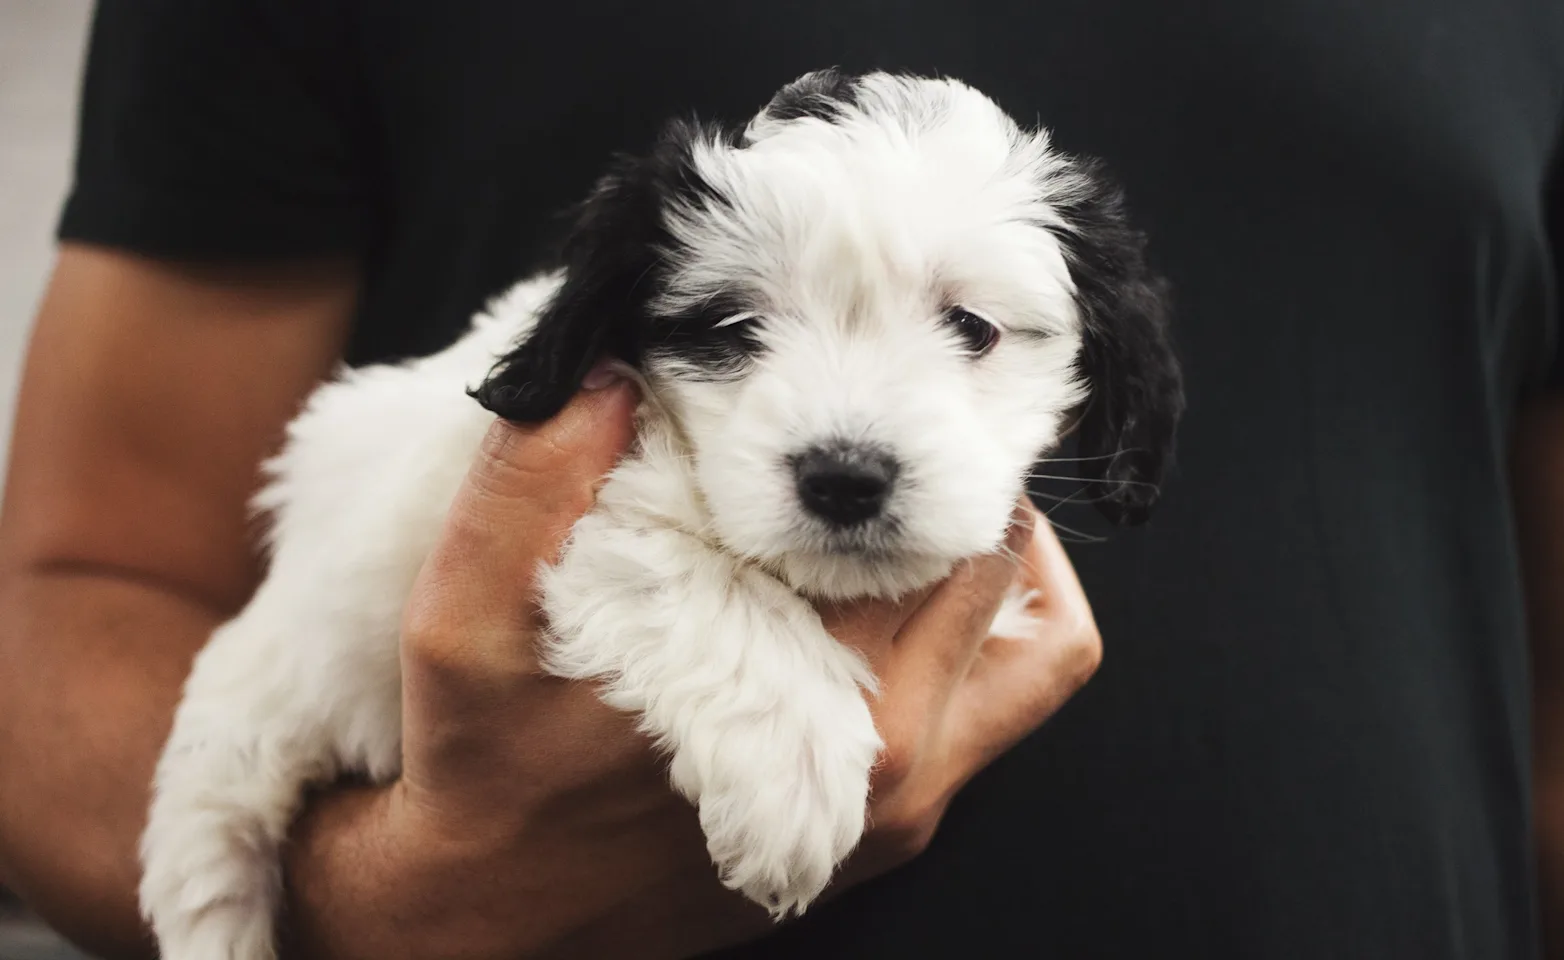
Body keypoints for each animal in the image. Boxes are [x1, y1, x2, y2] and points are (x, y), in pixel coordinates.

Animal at [140, 71, 1176, 956]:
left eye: (973, 327)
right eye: (732, 328)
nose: (845, 478)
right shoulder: (573, 506)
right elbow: (669, 557)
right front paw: (792, 767)